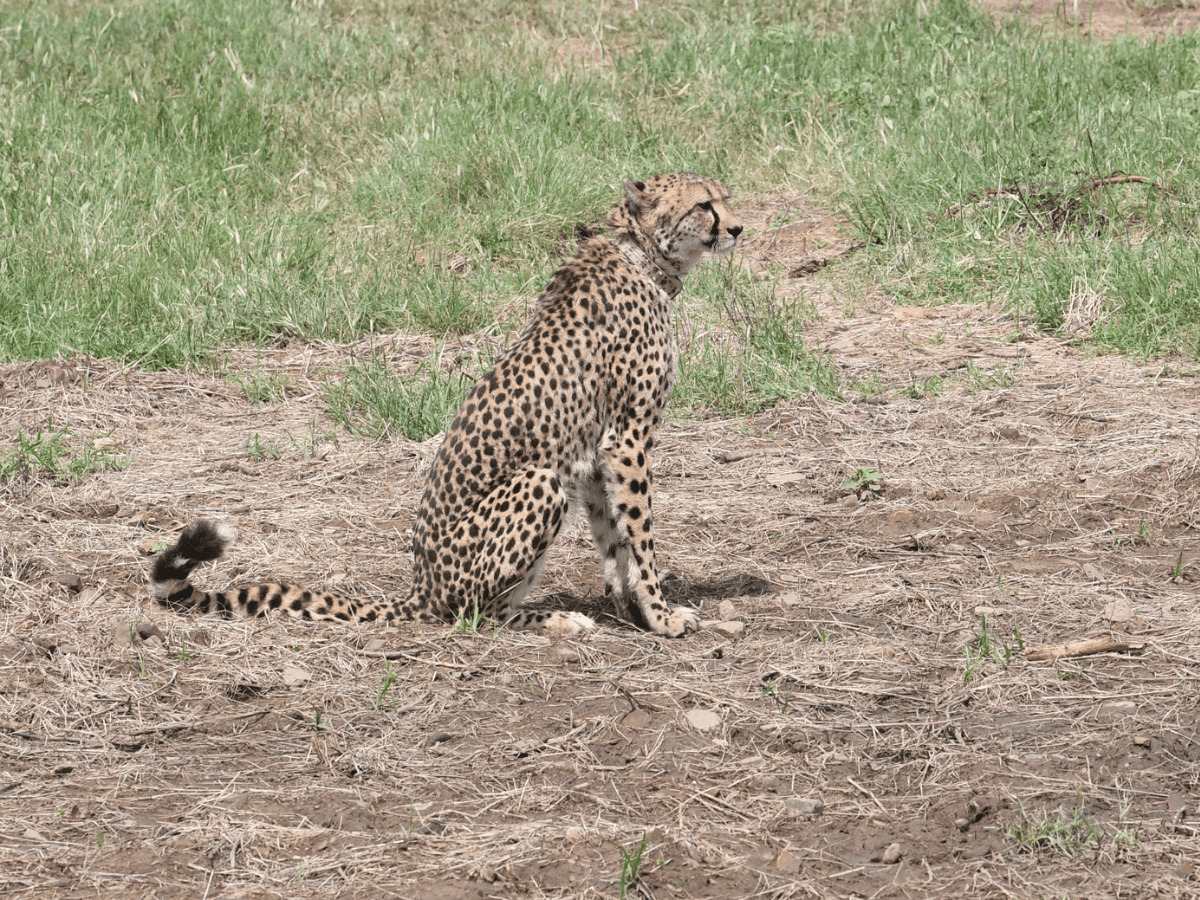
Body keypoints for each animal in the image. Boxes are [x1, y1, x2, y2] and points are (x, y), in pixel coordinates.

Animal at [150, 173, 743, 638]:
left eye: (726, 198)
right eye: (703, 205)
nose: (737, 228)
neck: (642, 255)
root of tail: (422, 586)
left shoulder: (596, 453)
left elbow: (613, 537)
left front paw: (630, 608)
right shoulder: (626, 439)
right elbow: (640, 535)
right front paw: (661, 615)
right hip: (538, 483)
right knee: (472, 613)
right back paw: (553, 620)